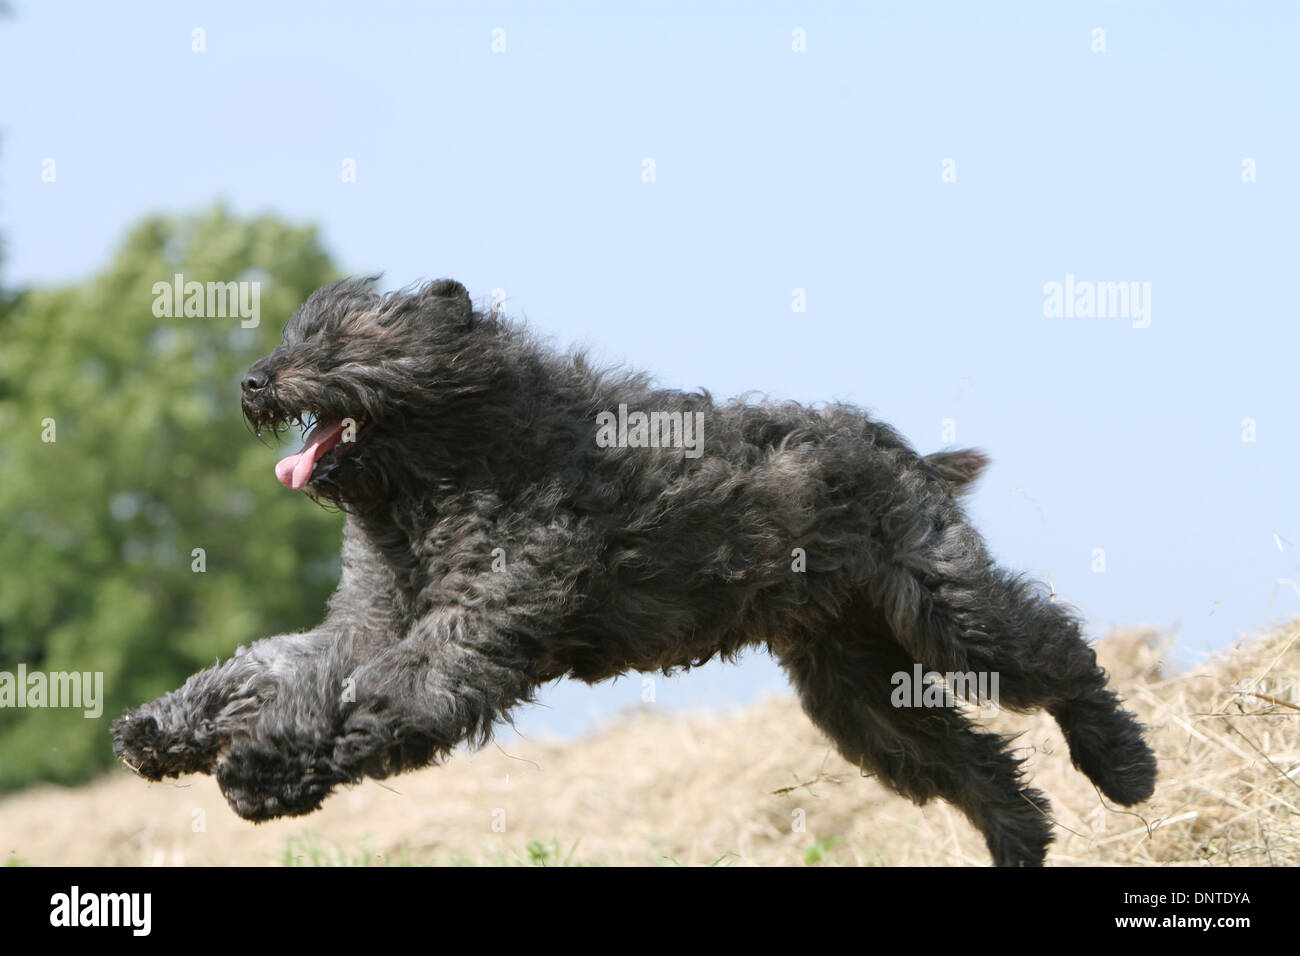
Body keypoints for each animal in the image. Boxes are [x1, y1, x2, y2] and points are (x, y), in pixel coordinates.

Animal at [116, 277, 1159, 868]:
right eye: (294, 336)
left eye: (342, 342)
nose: (254, 381)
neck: (456, 462)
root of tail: (897, 449)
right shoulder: (366, 621)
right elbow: (270, 669)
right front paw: (164, 728)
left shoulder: (473, 629)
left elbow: (380, 697)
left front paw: (266, 772)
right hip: (855, 688)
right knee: (973, 762)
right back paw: (1020, 839)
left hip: (946, 613)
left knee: (1060, 655)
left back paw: (1125, 766)